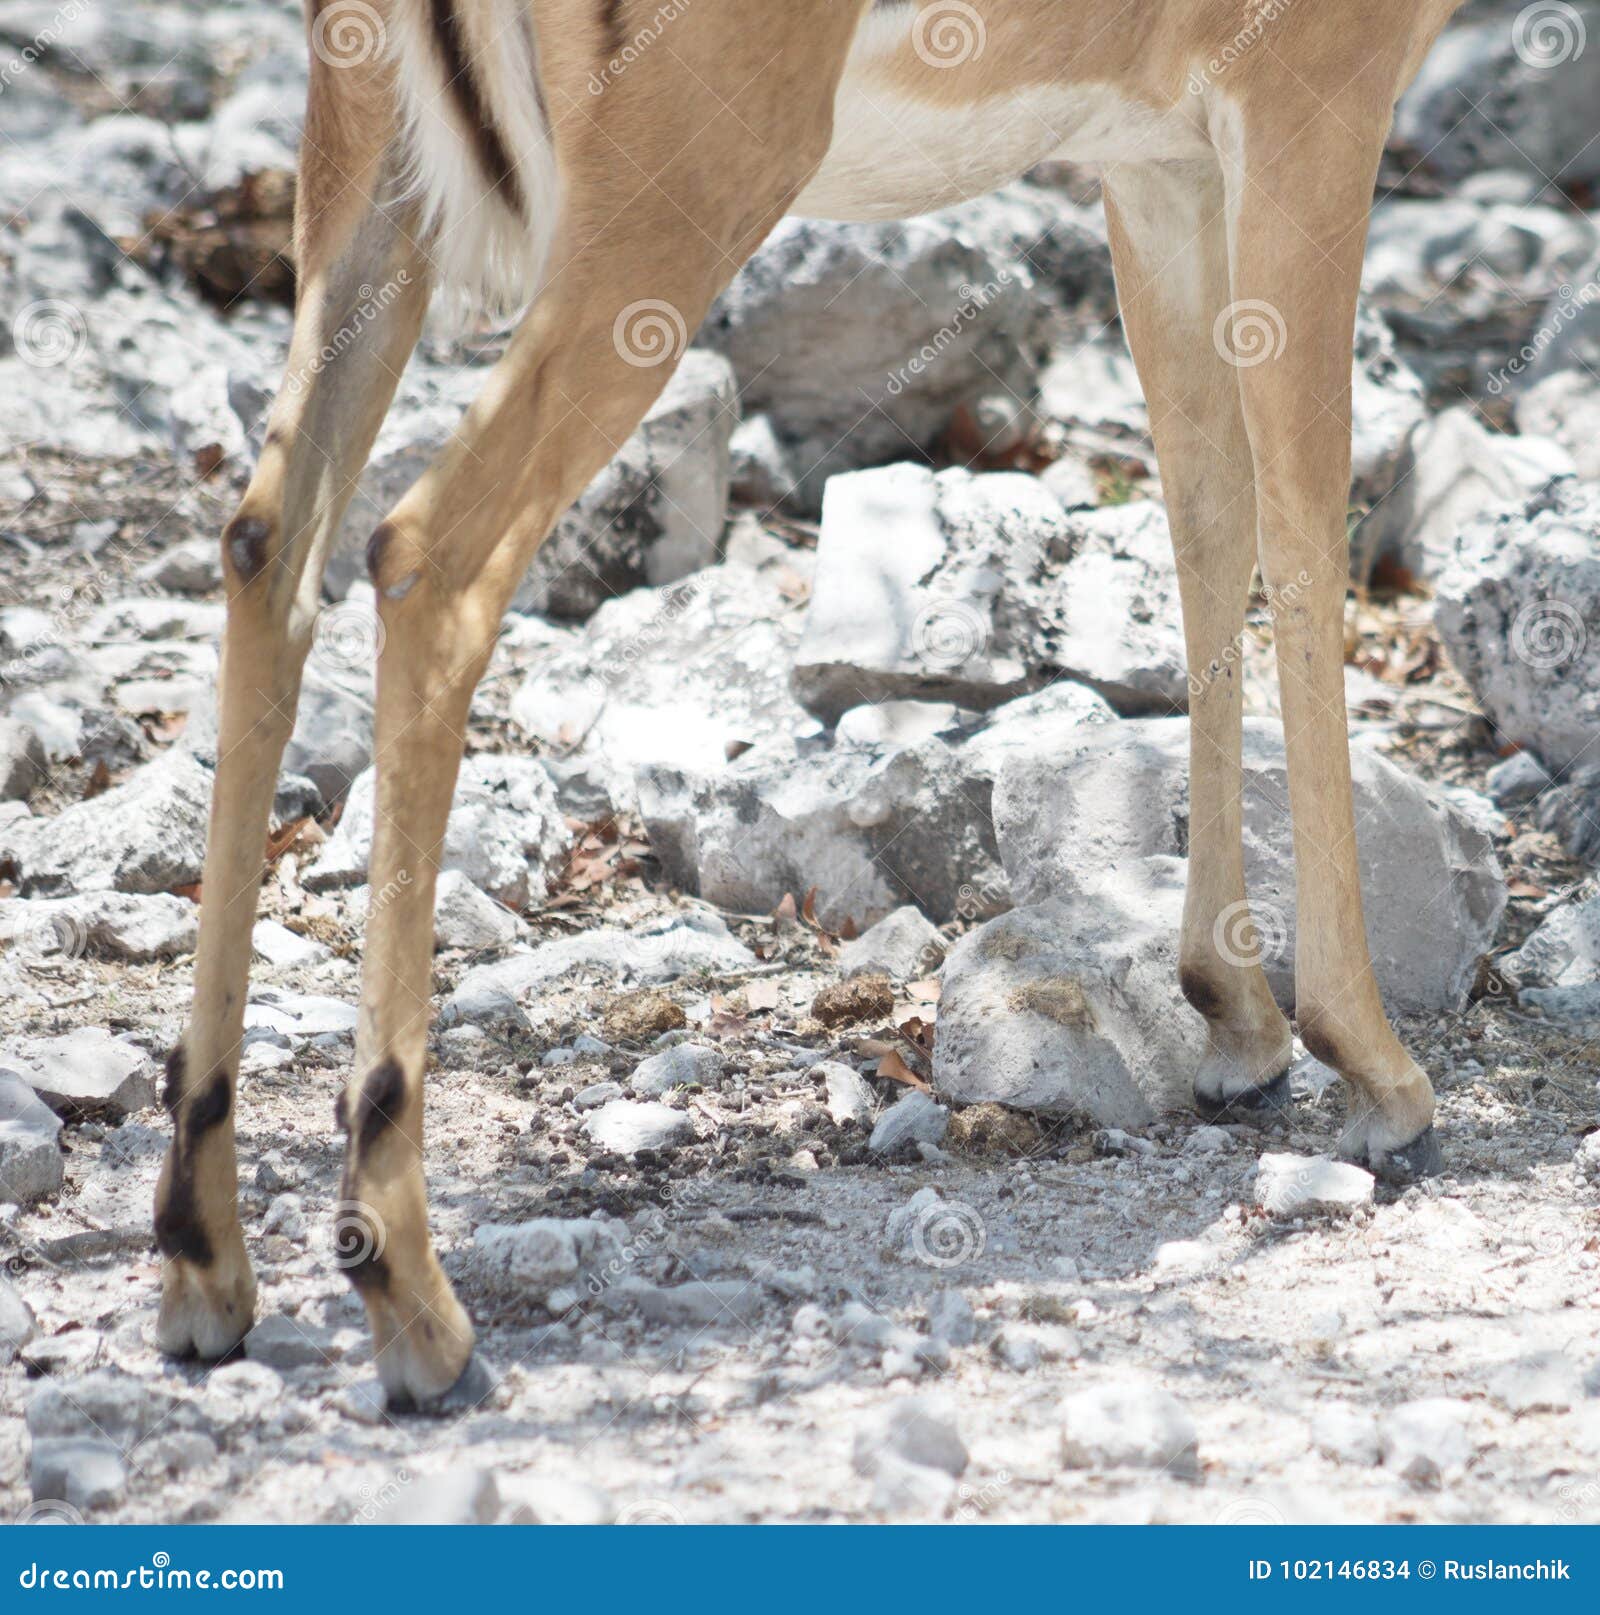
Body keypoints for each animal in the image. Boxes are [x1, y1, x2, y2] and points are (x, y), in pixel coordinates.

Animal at [156, 0, 1466, 1408]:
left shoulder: (1155, 161)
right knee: (422, 559)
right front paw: (1374, 1066)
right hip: (657, 222)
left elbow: (1206, 517)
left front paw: (1236, 1017)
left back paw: (204, 1267)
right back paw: (414, 1305)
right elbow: (1305, 525)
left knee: (264, 543)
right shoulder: (1309, 105)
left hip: (370, 195)